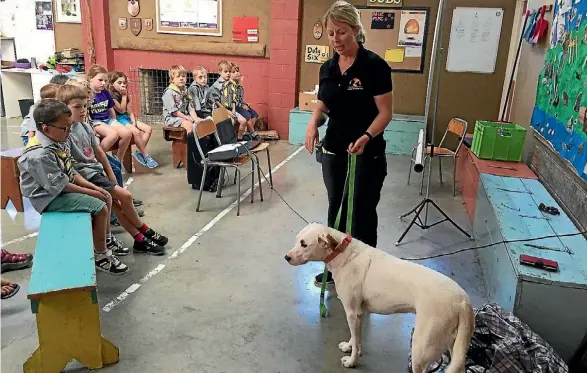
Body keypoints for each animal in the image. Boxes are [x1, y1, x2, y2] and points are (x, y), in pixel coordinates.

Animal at [284, 222, 474, 370]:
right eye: (297, 240)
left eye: (303, 244)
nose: (286, 257)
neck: (342, 253)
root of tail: (463, 301)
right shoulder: (357, 314)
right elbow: (355, 337)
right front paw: (349, 346)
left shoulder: (352, 312)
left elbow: (357, 342)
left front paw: (352, 361)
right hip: (453, 346)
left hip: (421, 349)